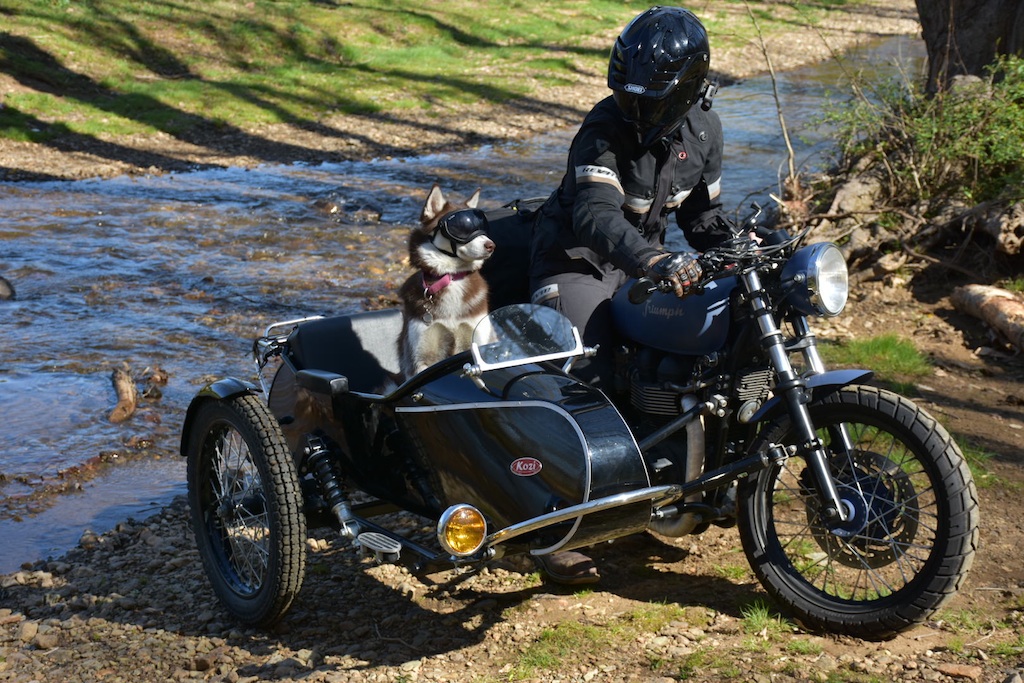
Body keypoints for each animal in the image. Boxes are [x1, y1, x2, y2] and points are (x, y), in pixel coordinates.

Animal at [395, 184, 495, 382]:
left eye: (482, 227)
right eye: (461, 228)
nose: (491, 245)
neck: (452, 276)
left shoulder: (477, 339)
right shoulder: (420, 359)